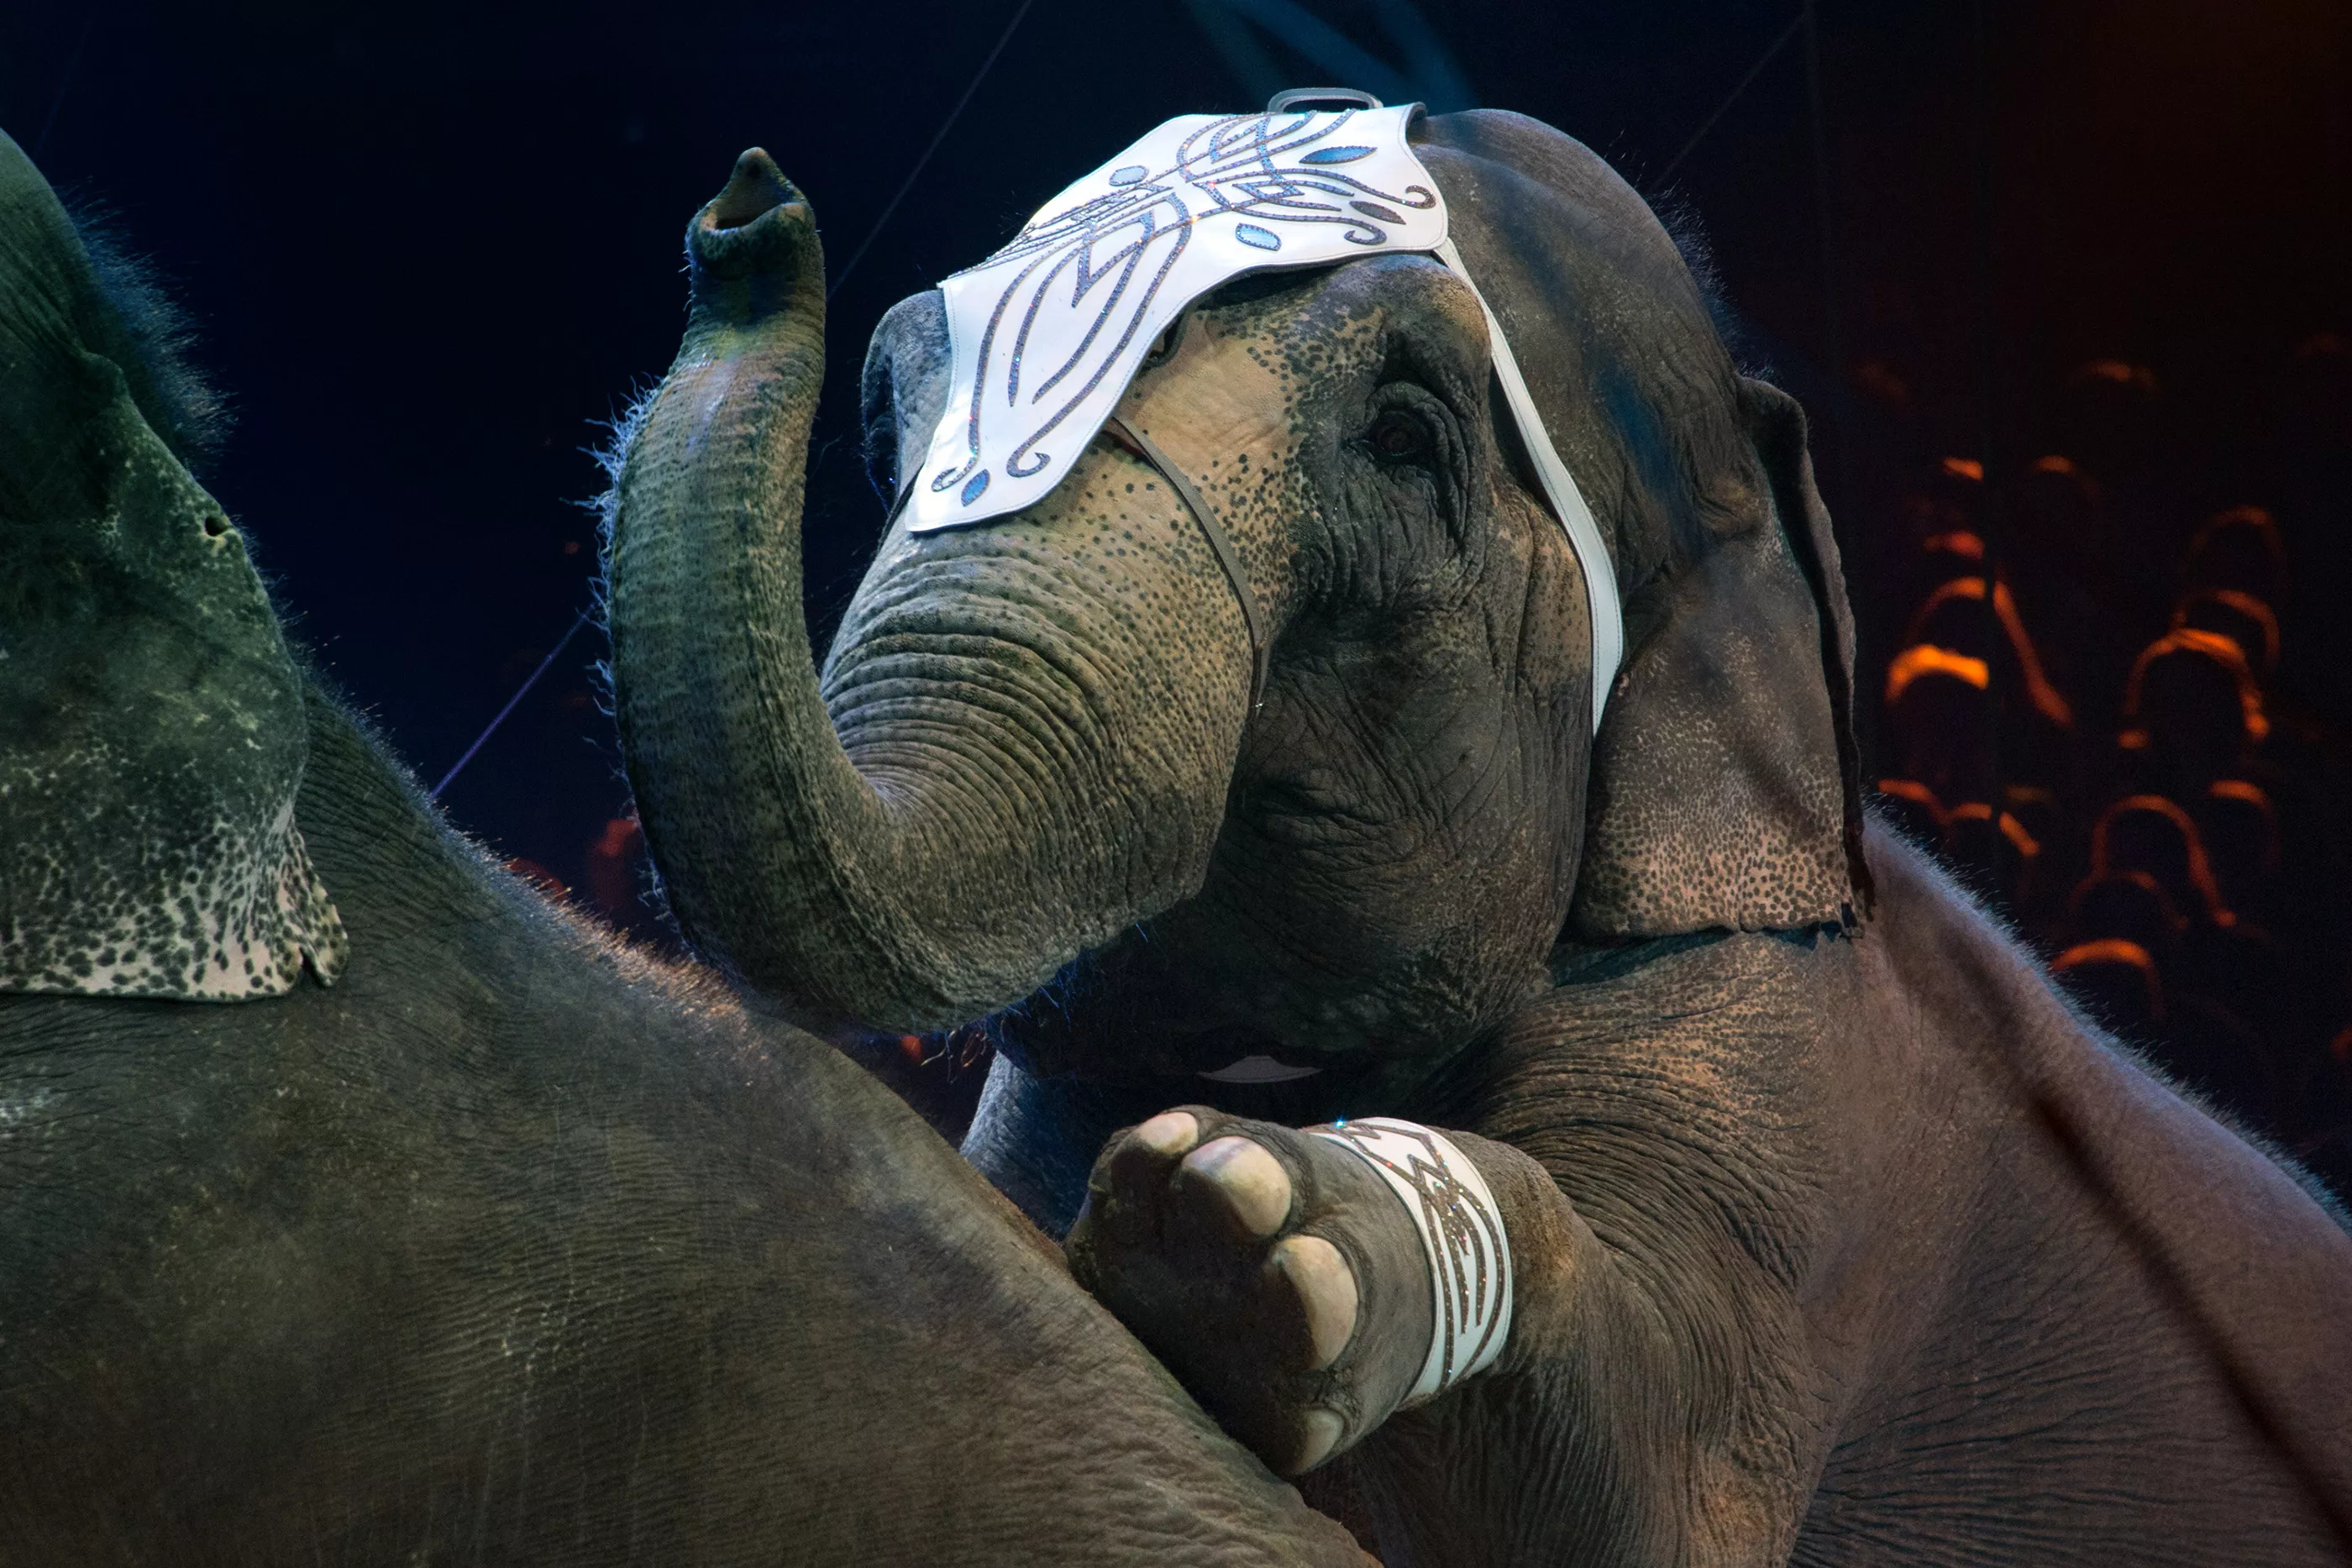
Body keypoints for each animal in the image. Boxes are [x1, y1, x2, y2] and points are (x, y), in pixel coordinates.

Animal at [603, 104, 2352, 1565]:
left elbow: (1643, 1506)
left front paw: (1255, 1226)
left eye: (1402, 434)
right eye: (891, 422)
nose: (744, 214)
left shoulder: (1811, 1077)